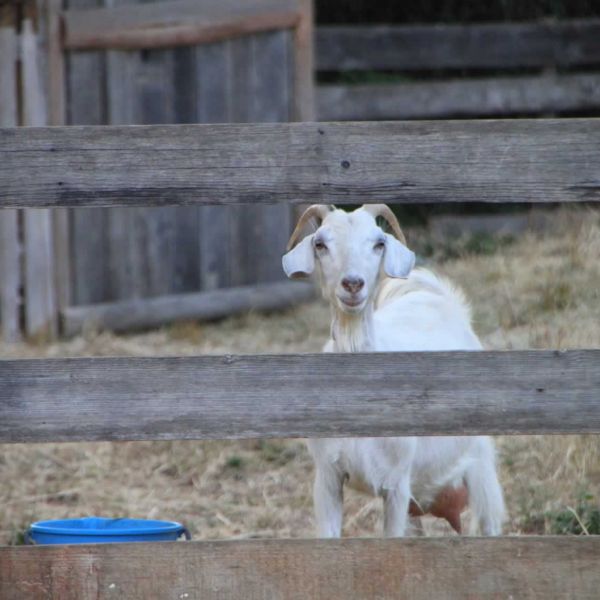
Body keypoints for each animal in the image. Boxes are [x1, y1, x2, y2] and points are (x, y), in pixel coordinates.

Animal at [282, 204, 506, 536]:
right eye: (320, 243)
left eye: (379, 243)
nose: (353, 284)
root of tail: (433, 294)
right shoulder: (327, 479)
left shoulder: (397, 485)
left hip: (480, 466)